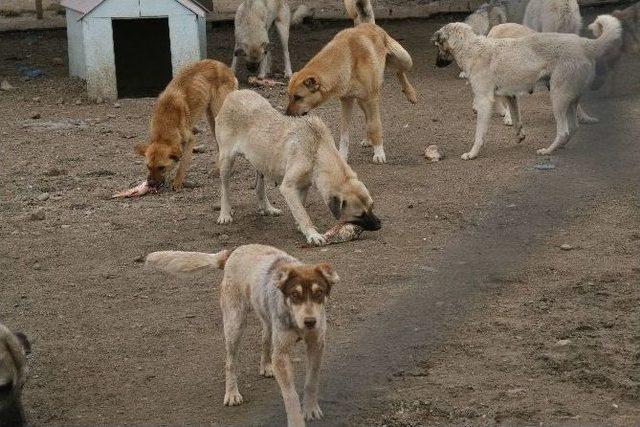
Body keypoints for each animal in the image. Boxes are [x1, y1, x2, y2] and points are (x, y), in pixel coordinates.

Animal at [135, 59, 238, 191]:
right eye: (148, 166)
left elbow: (182, 163)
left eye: (161, 167)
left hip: (218, 117)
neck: (165, 124)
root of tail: (225, 67)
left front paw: (177, 182)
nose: (151, 184)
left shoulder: (190, 140)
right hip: (211, 119)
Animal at [143, 244, 338, 427]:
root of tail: (233, 253)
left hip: (265, 317)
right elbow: (290, 396)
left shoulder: (316, 345)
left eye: (319, 293)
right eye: (294, 294)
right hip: (234, 326)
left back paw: (266, 365)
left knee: (265, 339)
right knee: (230, 363)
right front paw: (297, 421)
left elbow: (311, 381)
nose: (310, 322)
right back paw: (231, 393)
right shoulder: (281, 355)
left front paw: (311, 409)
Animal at [215, 90, 380, 246]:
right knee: (224, 188)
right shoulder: (288, 187)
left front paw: (301, 227)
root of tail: (233, 94)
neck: (317, 149)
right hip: (226, 161)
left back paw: (267, 208)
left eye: (372, 206)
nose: (380, 225)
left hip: (261, 161)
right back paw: (225, 214)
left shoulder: (303, 185)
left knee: (259, 187)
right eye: (360, 215)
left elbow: (301, 206)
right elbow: (302, 213)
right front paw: (312, 234)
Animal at [286, 22, 418, 165]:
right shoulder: (347, 100)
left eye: (298, 97)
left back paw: (410, 93)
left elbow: (375, 126)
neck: (348, 58)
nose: (286, 115)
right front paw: (342, 155)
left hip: (404, 59)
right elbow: (345, 133)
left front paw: (379, 153)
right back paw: (368, 139)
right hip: (361, 100)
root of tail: (370, 24)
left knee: (399, 71)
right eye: (289, 96)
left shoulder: (372, 98)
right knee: (368, 117)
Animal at [432, 15, 624, 160]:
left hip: (558, 97)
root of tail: (584, 44)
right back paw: (560, 146)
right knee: (573, 127)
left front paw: (472, 154)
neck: (471, 48)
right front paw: (519, 135)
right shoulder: (510, 96)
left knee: (563, 131)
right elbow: (517, 119)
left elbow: (479, 134)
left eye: (437, 46)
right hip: (570, 99)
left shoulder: (484, 101)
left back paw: (548, 150)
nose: (436, 65)